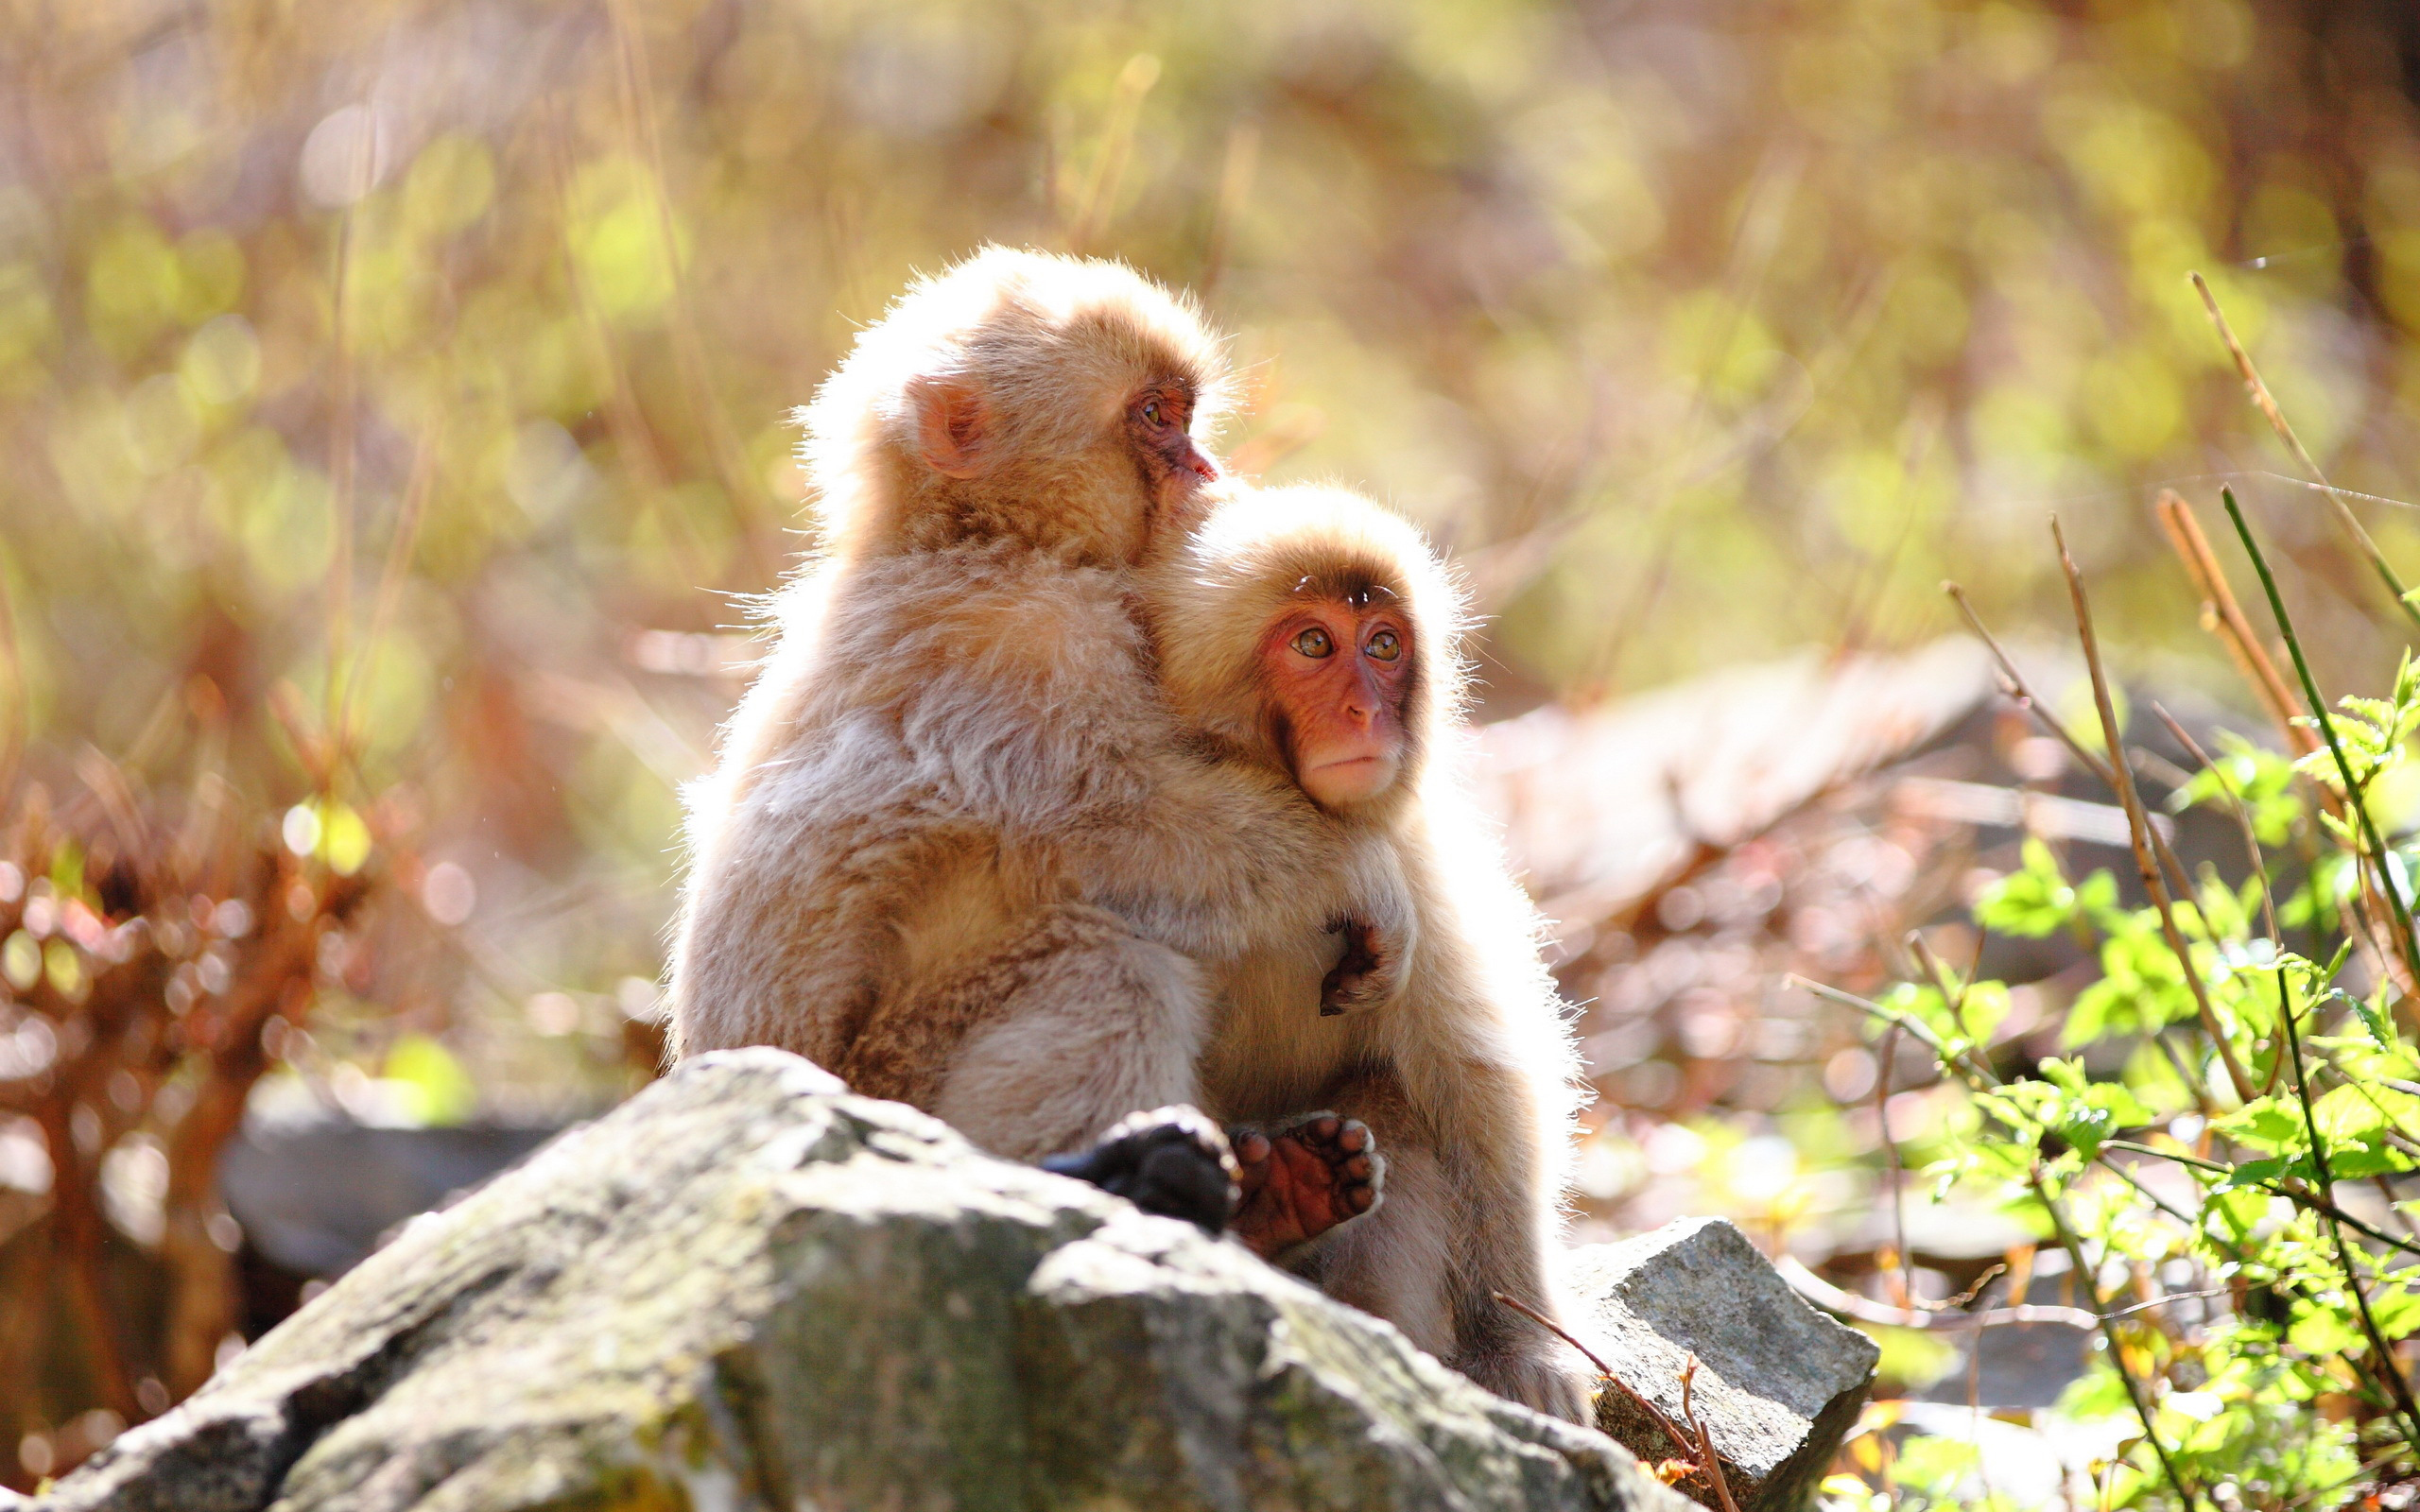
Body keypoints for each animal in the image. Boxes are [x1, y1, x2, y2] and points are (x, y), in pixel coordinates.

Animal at [667, 247, 1399, 1255]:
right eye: (1155, 418)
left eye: (1184, 414)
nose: (1204, 466)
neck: (981, 536)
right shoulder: (1032, 642)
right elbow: (1123, 827)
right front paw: (1364, 874)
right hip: (898, 1077)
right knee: (1107, 965)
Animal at [1134, 481, 1594, 1424]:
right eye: (1314, 643)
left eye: (1384, 646)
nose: (1365, 714)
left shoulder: (1413, 861)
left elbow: (1475, 1082)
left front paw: (1523, 1347)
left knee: (1396, 1101)